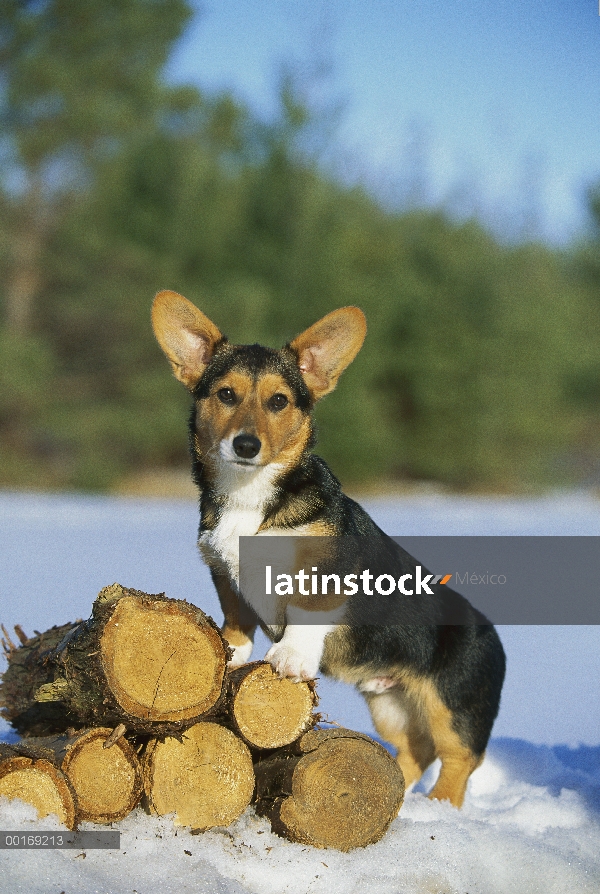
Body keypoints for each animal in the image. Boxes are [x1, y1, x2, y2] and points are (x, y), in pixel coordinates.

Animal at [152, 290, 504, 808]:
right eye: (226, 395)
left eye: (278, 400)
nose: (246, 444)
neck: (252, 496)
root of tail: (492, 632)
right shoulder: (222, 570)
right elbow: (236, 617)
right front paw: (231, 654)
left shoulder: (325, 569)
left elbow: (305, 612)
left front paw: (290, 658)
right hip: (391, 707)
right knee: (414, 752)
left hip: (452, 709)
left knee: (456, 764)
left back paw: (440, 809)